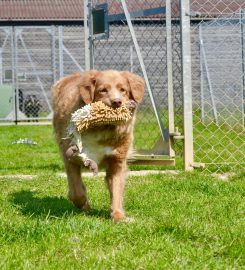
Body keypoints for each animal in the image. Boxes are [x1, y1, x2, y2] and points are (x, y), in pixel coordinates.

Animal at [51, 69, 144, 221]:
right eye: (103, 90)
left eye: (123, 90)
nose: (117, 102)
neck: (102, 129)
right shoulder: (71, 158)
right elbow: (76, 191)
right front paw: (82, 204)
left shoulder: (117, 162)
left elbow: (116, 189)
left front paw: (118, 216)